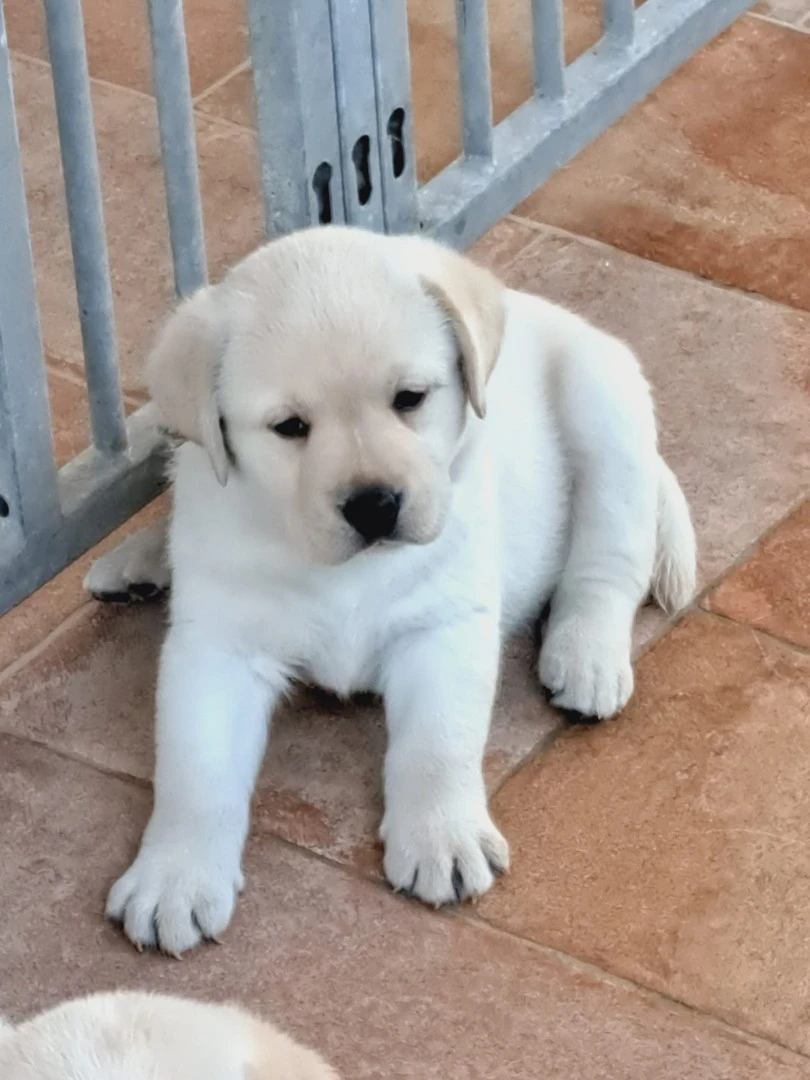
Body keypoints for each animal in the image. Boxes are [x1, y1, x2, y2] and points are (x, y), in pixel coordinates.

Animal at [87, 223, 699, 950]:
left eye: (410, 398)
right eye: (290, 427)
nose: (375, 505)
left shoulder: (443, 625)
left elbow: (438, 744)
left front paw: (444, 840)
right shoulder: (216, 647)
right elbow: (194, 769)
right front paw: (174, 878)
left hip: (605, 405)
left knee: (607, 563)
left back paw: (587, 657)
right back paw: (137, 561)